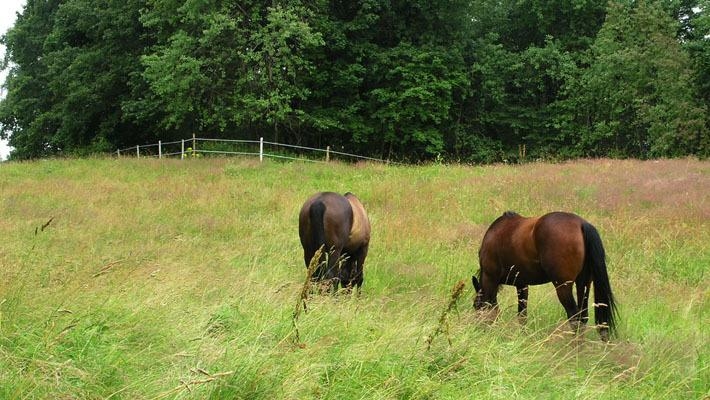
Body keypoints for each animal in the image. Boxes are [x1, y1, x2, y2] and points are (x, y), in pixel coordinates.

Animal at [476, 211, 620, 340]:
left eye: (475, 306)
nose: (478, 329)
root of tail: (581, 224)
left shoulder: (490, 278)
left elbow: (492, 308)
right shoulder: (522, 285)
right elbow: (522, 314)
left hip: (563, 287)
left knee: (575, 318)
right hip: (583, 284)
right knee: (583, 317)